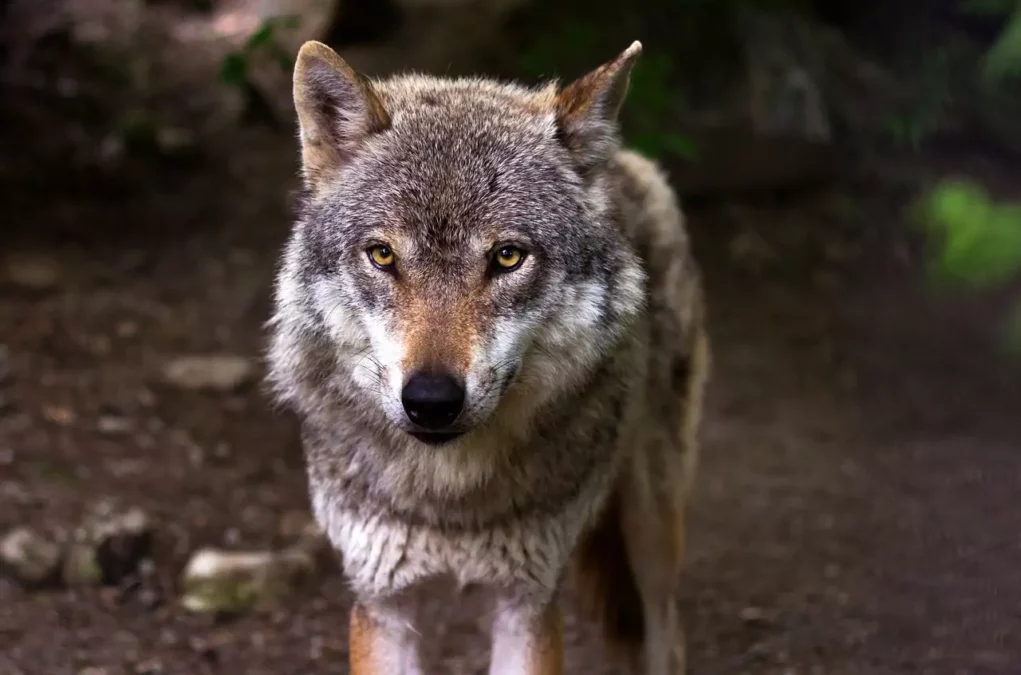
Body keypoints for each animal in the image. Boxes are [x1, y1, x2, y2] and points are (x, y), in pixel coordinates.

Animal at [266, 37, 710, 675]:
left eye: (507, 257)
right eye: (382, 255)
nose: (431, 400)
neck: (450, 499)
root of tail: (624, 161)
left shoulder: (527, 602)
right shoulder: (382, 602)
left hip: (651, 533)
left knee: (666, 636)